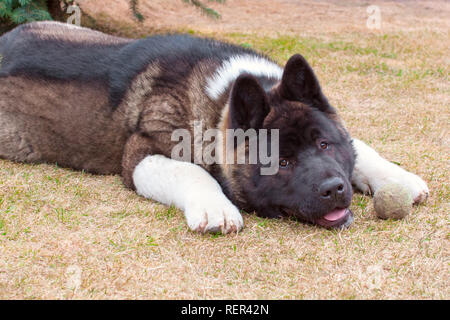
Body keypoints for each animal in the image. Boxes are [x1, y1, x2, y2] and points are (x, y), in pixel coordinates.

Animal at [0, 21, 428, 232]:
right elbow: (192, 172)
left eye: (324, 144)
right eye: (282, 164)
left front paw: (398, 177)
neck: (221, 99)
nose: (335, 189)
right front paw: (216, 208)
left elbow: (360, 146)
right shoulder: (140, 152)